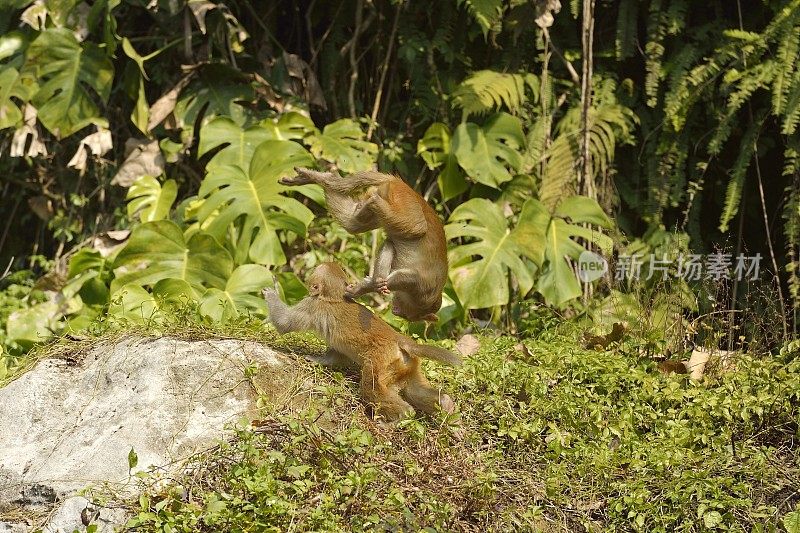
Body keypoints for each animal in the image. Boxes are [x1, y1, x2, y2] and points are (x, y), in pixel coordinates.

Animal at [262, 262, 460, 420]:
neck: (334, 297)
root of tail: (400, 340)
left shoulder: (311, 305)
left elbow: (284, 323)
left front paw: (273, 291)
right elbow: (337, 354)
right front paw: (320, 360)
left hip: (381, 360)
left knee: (371, 387)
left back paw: (401, 415)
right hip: (407, 365)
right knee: (413, 390)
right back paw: (445, 403)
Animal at [278, 168, 446, 322]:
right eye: (407, 316)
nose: (396, 311)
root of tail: (407, 187)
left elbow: (389, 245)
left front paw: (364, 286)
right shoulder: (419, 286)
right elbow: (395, 279)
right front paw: (371, 286)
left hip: (390, 198)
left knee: (354, 224)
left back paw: (328, 181)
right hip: (405, 203)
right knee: (417, 227)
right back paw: (372, 200)